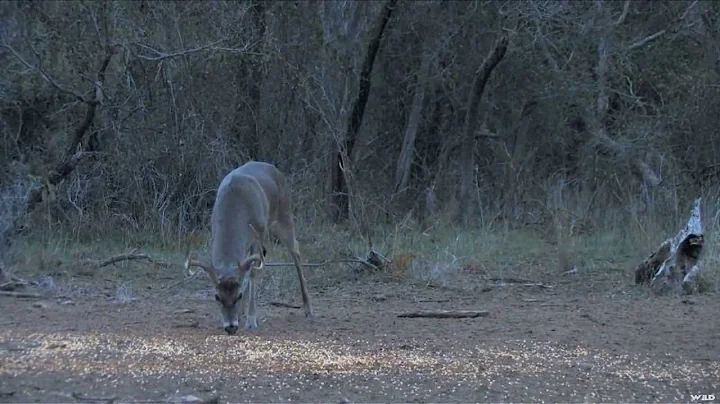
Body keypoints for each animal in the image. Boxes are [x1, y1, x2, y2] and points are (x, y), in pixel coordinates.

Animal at [186, 161, 312, 334]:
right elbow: (245, 272)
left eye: (238, 295)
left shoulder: (259, 232)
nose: (230, 327)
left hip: (284, 213)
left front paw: (252, 320)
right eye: (217, 296)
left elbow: (252, 273)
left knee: (296, 251)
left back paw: (308, 309)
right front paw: (239, 315)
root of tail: (275, 169)